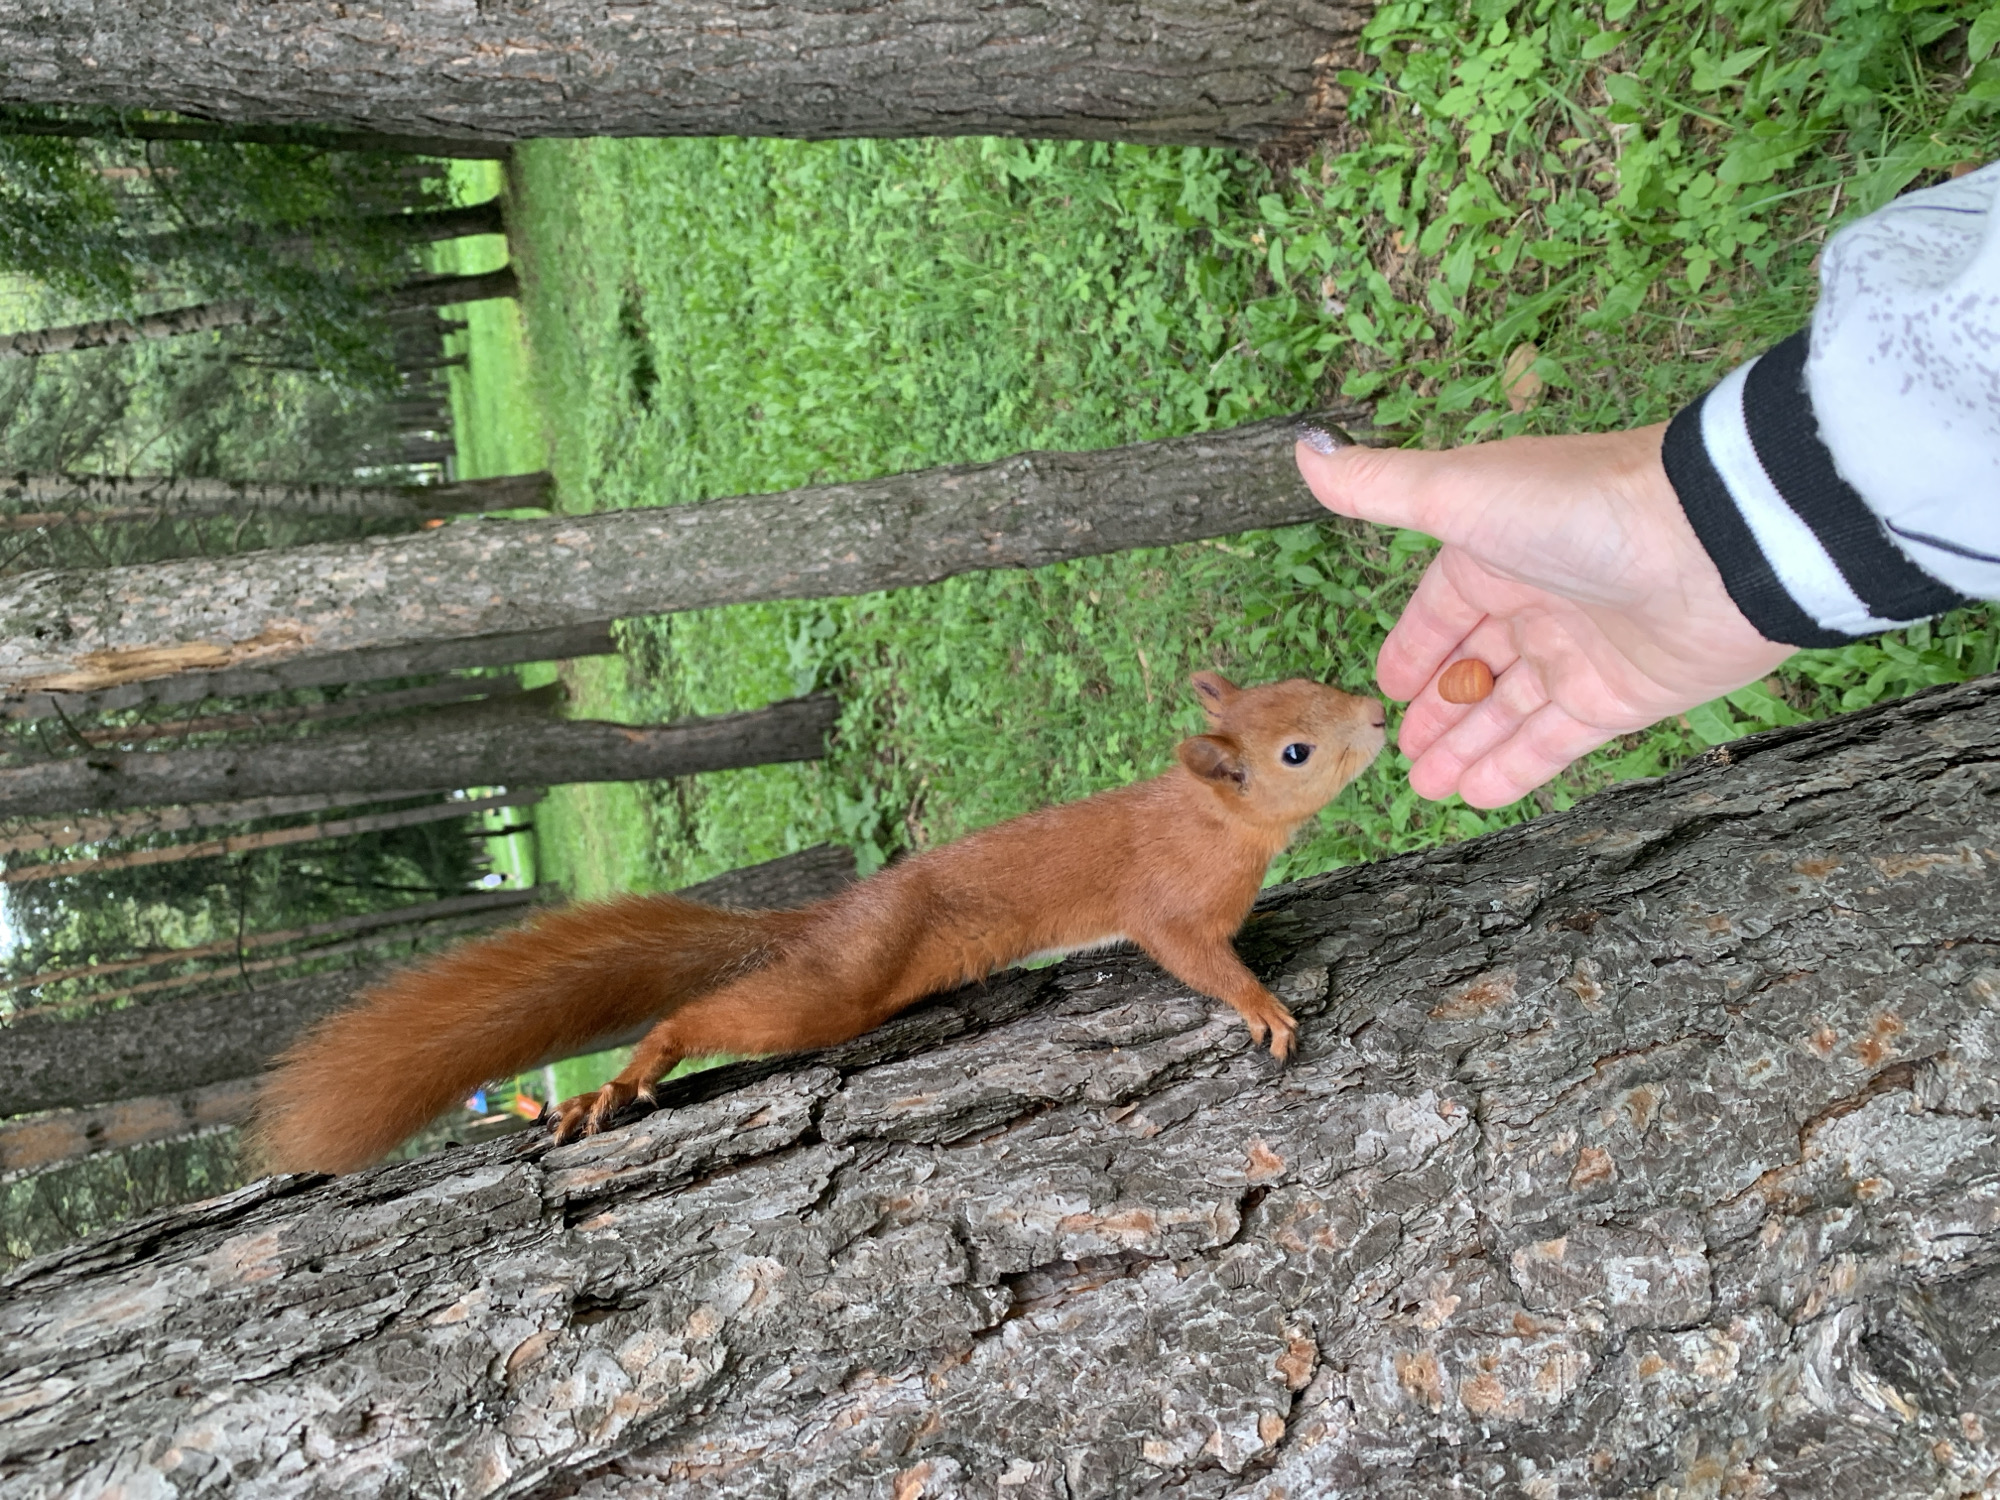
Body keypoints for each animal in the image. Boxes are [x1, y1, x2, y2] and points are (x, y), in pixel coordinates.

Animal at [250, 672, 1387, 1175]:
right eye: (1293, 750)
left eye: (1309, 681)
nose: (1379, 710)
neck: (1208, 818)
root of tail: (833, 912)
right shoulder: (1165, 904)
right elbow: (1195, 958)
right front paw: (1261, 1004)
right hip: (839, 986)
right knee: (704, 1016)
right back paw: (626, 1077)